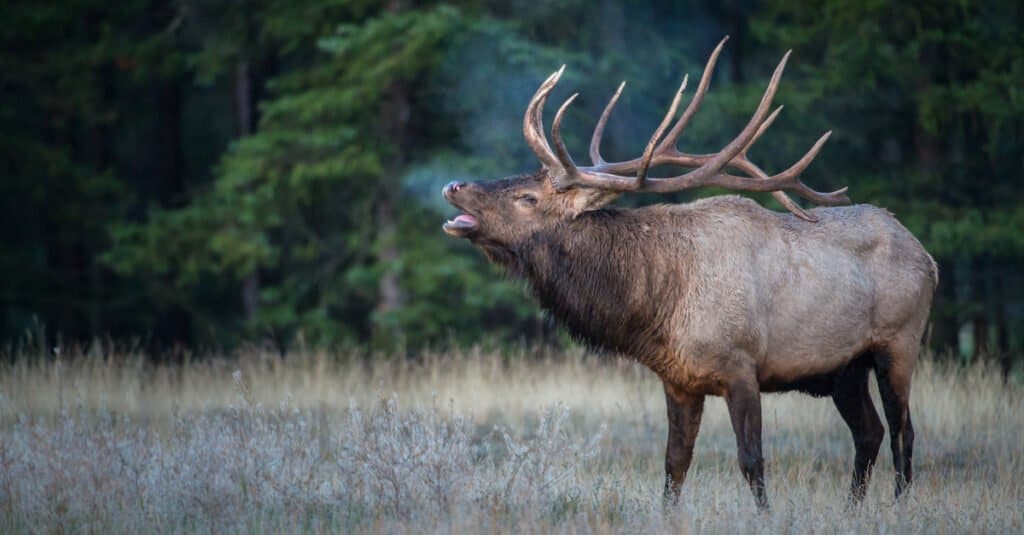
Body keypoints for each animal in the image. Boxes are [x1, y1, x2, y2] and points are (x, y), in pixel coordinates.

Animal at [440, 38, 937, 508]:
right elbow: (674, 464)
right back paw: (854, 510)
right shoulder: (678, 381)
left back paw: (898, 506)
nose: (452, 184)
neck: (658, 303)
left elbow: (752, 461)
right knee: (869, 433)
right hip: (845, 368)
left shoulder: (742, 365)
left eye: (527, 197)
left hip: (898, 342)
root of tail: (928, 259)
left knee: (903, 433)